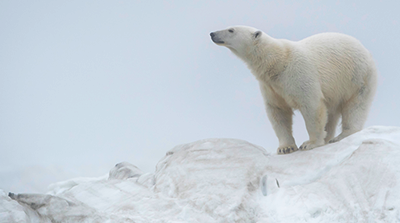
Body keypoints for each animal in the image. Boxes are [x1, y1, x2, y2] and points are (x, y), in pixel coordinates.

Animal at [211, 26, 376, 154]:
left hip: (357, 77)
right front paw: (286, 148)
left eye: (231, 29)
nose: (212, 34)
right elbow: (278, 111)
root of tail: (366, 51)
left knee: (355, 106)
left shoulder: (298, 73)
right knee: (332, 112)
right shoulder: (271, 86)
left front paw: (309, 144)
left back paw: (342, 135)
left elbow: (311, 106)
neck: (277, 61)